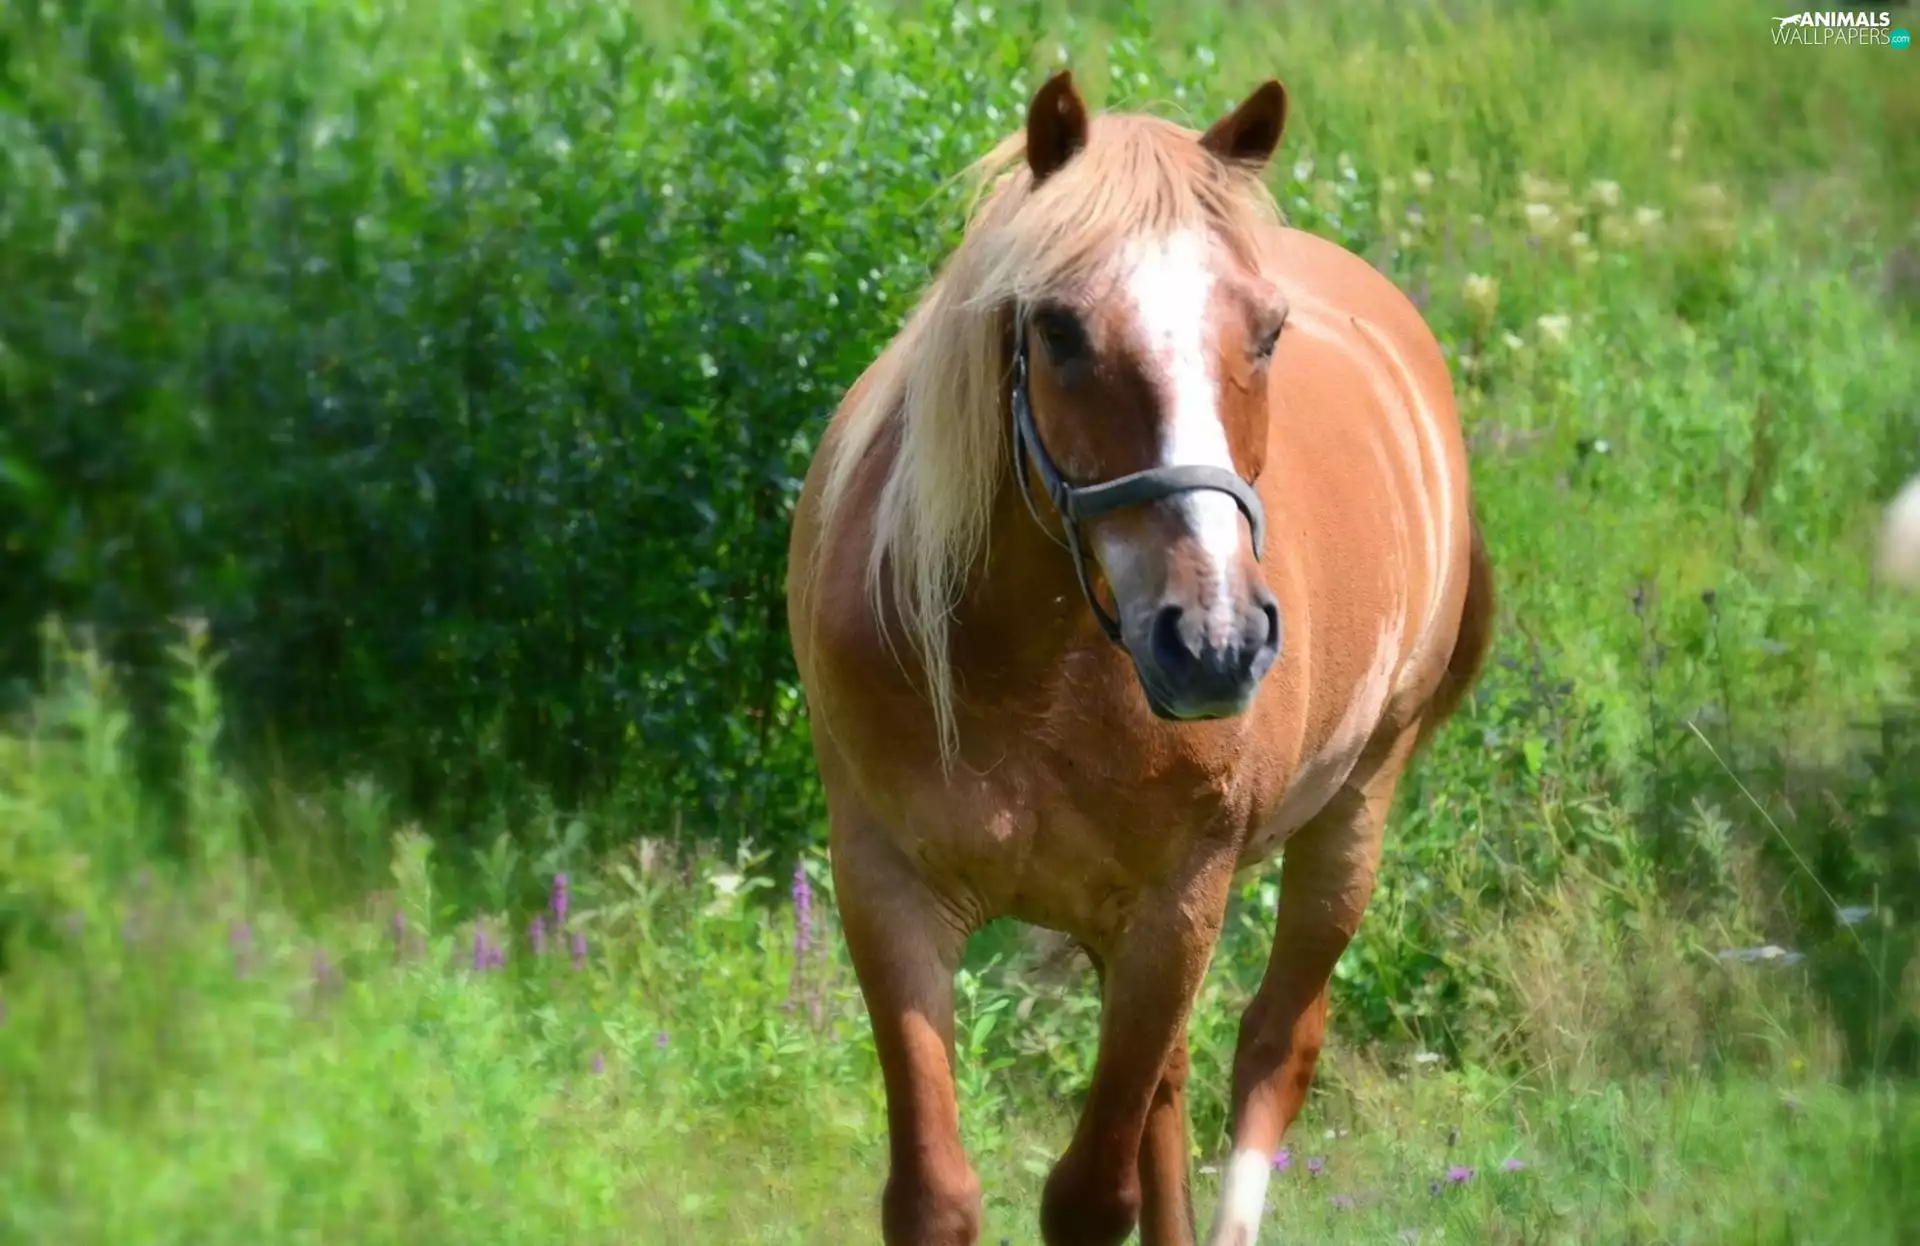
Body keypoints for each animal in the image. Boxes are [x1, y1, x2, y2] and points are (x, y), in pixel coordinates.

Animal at [784, 69, 1495, 1246]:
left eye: (1267, 332)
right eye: (1059, 329)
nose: (1214, 642)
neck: (1025, 670)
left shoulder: (1176, 907)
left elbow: (1089, 1195)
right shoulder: (885, 887)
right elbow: (937, 1194)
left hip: (1353, 816)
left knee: (1273, 1047)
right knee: (1170, 1088)